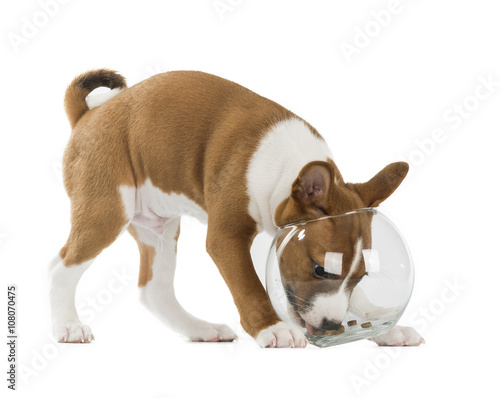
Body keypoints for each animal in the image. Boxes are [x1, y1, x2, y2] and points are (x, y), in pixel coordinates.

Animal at [48, 70, 424, 346]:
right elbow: (249, 286)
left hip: (159, 229)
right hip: (107, 213)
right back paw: (67, 326)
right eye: (319, 269)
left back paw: (201, 330)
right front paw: (273, 329)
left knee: (154, 291)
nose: (332, 325)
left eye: (361, 276)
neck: (285, 167)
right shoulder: (226, 238)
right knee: (61, 267)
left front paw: (386, 328)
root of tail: (88, 115)